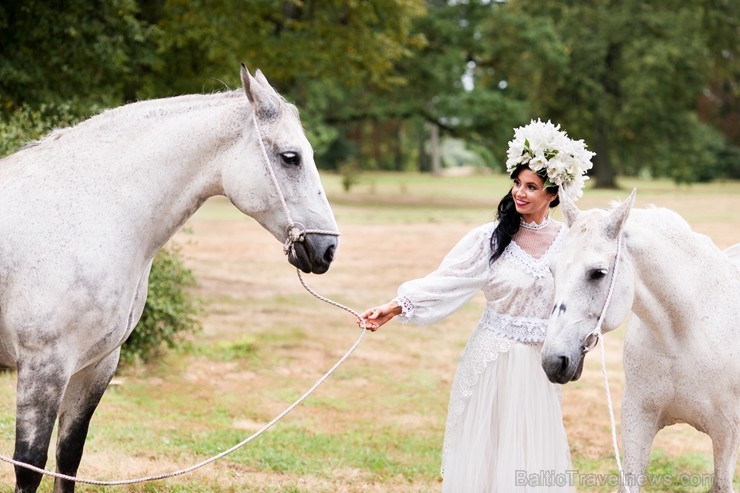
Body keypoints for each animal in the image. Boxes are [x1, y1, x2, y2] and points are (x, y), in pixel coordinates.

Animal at [0, 66, 338, 492]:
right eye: (290, 157)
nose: (328, 248)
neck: (86, 213)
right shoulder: (44, 366)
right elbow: (29, 465)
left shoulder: (95, 365)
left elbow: (68, 458)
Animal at [536, 189, 740, 492]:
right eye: (553, 269)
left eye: (598, 272)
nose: (553, 361)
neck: (682, 337)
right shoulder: (637, 418)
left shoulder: (726, 432)